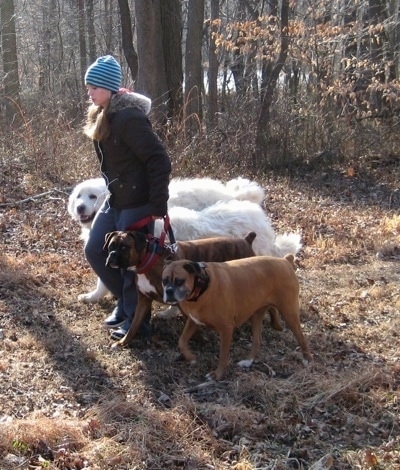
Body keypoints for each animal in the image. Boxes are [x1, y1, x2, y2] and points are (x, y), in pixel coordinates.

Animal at [104, 229, 258, 346]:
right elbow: (134, 325)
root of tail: (245, 240)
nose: (112, 255)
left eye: (124, 247)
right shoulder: (143, 302)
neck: (149, 259)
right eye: (111, 246)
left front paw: (201, 341)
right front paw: (122, 342)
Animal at [162, 255, 312, 380]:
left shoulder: (226, 329)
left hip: (289, 313)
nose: (169, 291)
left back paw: (307, 359)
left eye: (179, 281)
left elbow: (223, 355)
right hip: (256, 315)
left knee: (301, 337)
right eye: (164, 281)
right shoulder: (193, 321)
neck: (203, 285)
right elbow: (181, 341)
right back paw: (248, 361)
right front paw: (191, 357)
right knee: (257, 340)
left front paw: (217, 375)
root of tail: (285, 260)